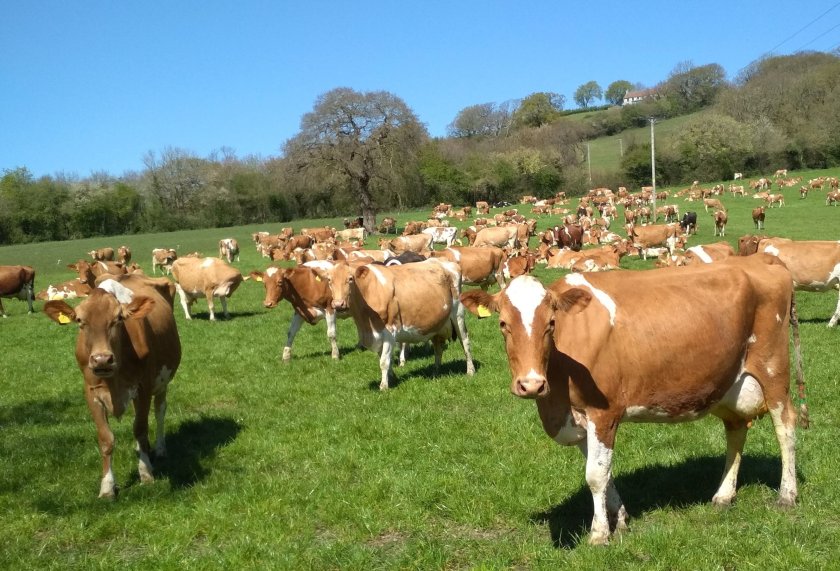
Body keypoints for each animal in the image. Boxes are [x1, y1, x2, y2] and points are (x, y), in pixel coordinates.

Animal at [42, 274, 180, 498]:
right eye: (79, 320)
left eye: (118, 319)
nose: (101, 360)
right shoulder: (91, 393)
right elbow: (106, 439)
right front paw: (107, 487)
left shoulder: (143, 388)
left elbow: (140, 428)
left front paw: (146, 474)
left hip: (162, 381)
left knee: (160, 410)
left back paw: (159, 449)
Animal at [316, 262, 472, 392]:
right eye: (329, 280)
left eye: (350, 279)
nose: (338, 304)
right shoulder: (377, 335)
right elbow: (386, 360)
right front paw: (392, 378)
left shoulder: (389, 331)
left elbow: (384, 362)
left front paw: (384, 386)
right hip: (436, 325)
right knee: (438, 349)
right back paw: (436, 371)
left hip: (458, 315)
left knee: (465, 343)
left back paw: (470, 371)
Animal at [462, 256, 804, 548]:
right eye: (503, 324)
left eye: (551, 324)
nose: (531, 384)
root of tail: (762, 258)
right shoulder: (581, 419)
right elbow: (604, 472)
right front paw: (621, 519)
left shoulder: (603, 412)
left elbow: (595, 475)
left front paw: (599, 534)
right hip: (727, 381)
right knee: (736, 429)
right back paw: (723, 495)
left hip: (773, 369)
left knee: (785, 425)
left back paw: (787, 495)